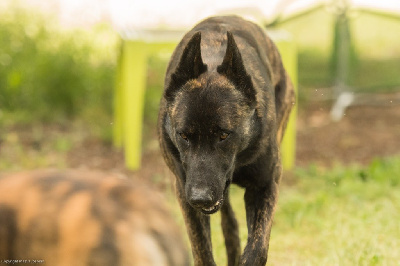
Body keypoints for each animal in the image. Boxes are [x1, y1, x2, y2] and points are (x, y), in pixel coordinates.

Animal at [159, 15, 294, 264]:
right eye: (183, 136)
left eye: (224, 135)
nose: (200, 198)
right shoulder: (184, 190)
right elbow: (202, 251)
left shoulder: (265, 184)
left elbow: (257, 248)